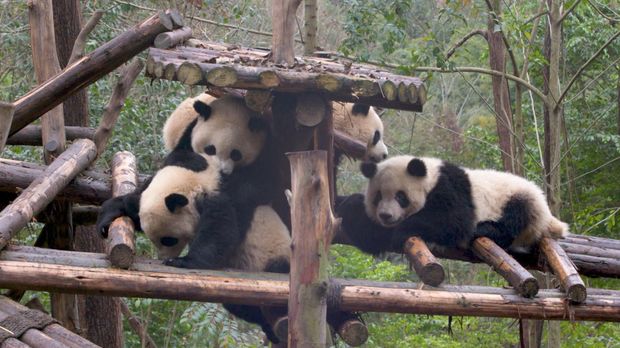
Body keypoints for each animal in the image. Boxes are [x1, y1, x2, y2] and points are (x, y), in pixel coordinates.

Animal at [336, 156, 568, 256]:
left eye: (401, 197)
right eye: (377, 197)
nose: (386, 215)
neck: (429, 176)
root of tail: (549, 217)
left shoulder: (448, 188)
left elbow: (453, 221)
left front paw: (402, 231)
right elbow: (372, 236)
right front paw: (348, 204)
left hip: (520, 197)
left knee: (515, 218)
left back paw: (485, 229)